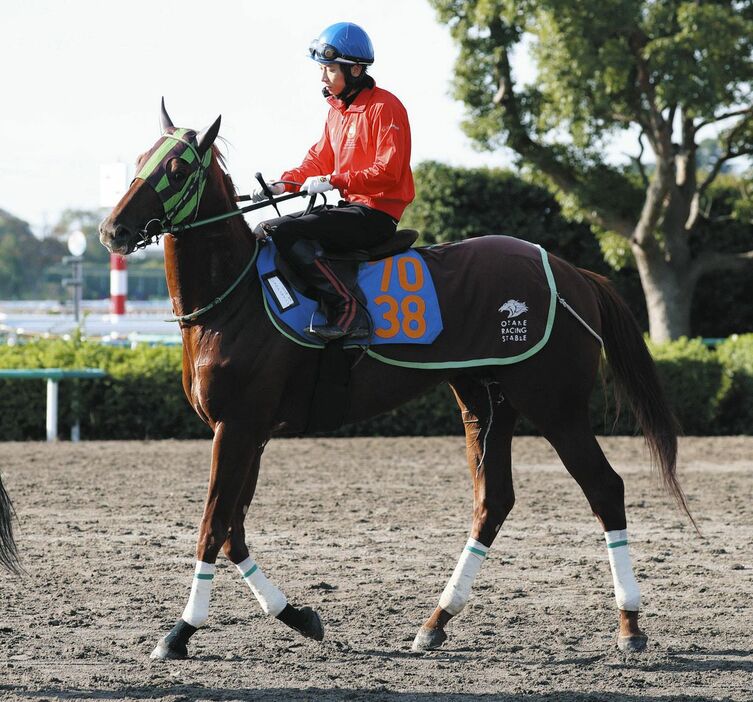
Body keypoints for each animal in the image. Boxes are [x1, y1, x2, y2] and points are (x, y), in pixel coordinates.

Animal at [94, 103, 692, 660]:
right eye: (142, 158)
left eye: (176, 169)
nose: (112, 230)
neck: (234, 300)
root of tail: (574, 275)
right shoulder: (250, 431)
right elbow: (233, 530)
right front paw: (298, 616)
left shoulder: (238, 426)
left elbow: (213, 526)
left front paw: (181, 631)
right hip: (484, 401)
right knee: (493, 501)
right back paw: (436, 621)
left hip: (554, 404)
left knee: (604, 488)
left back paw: (630, 625)